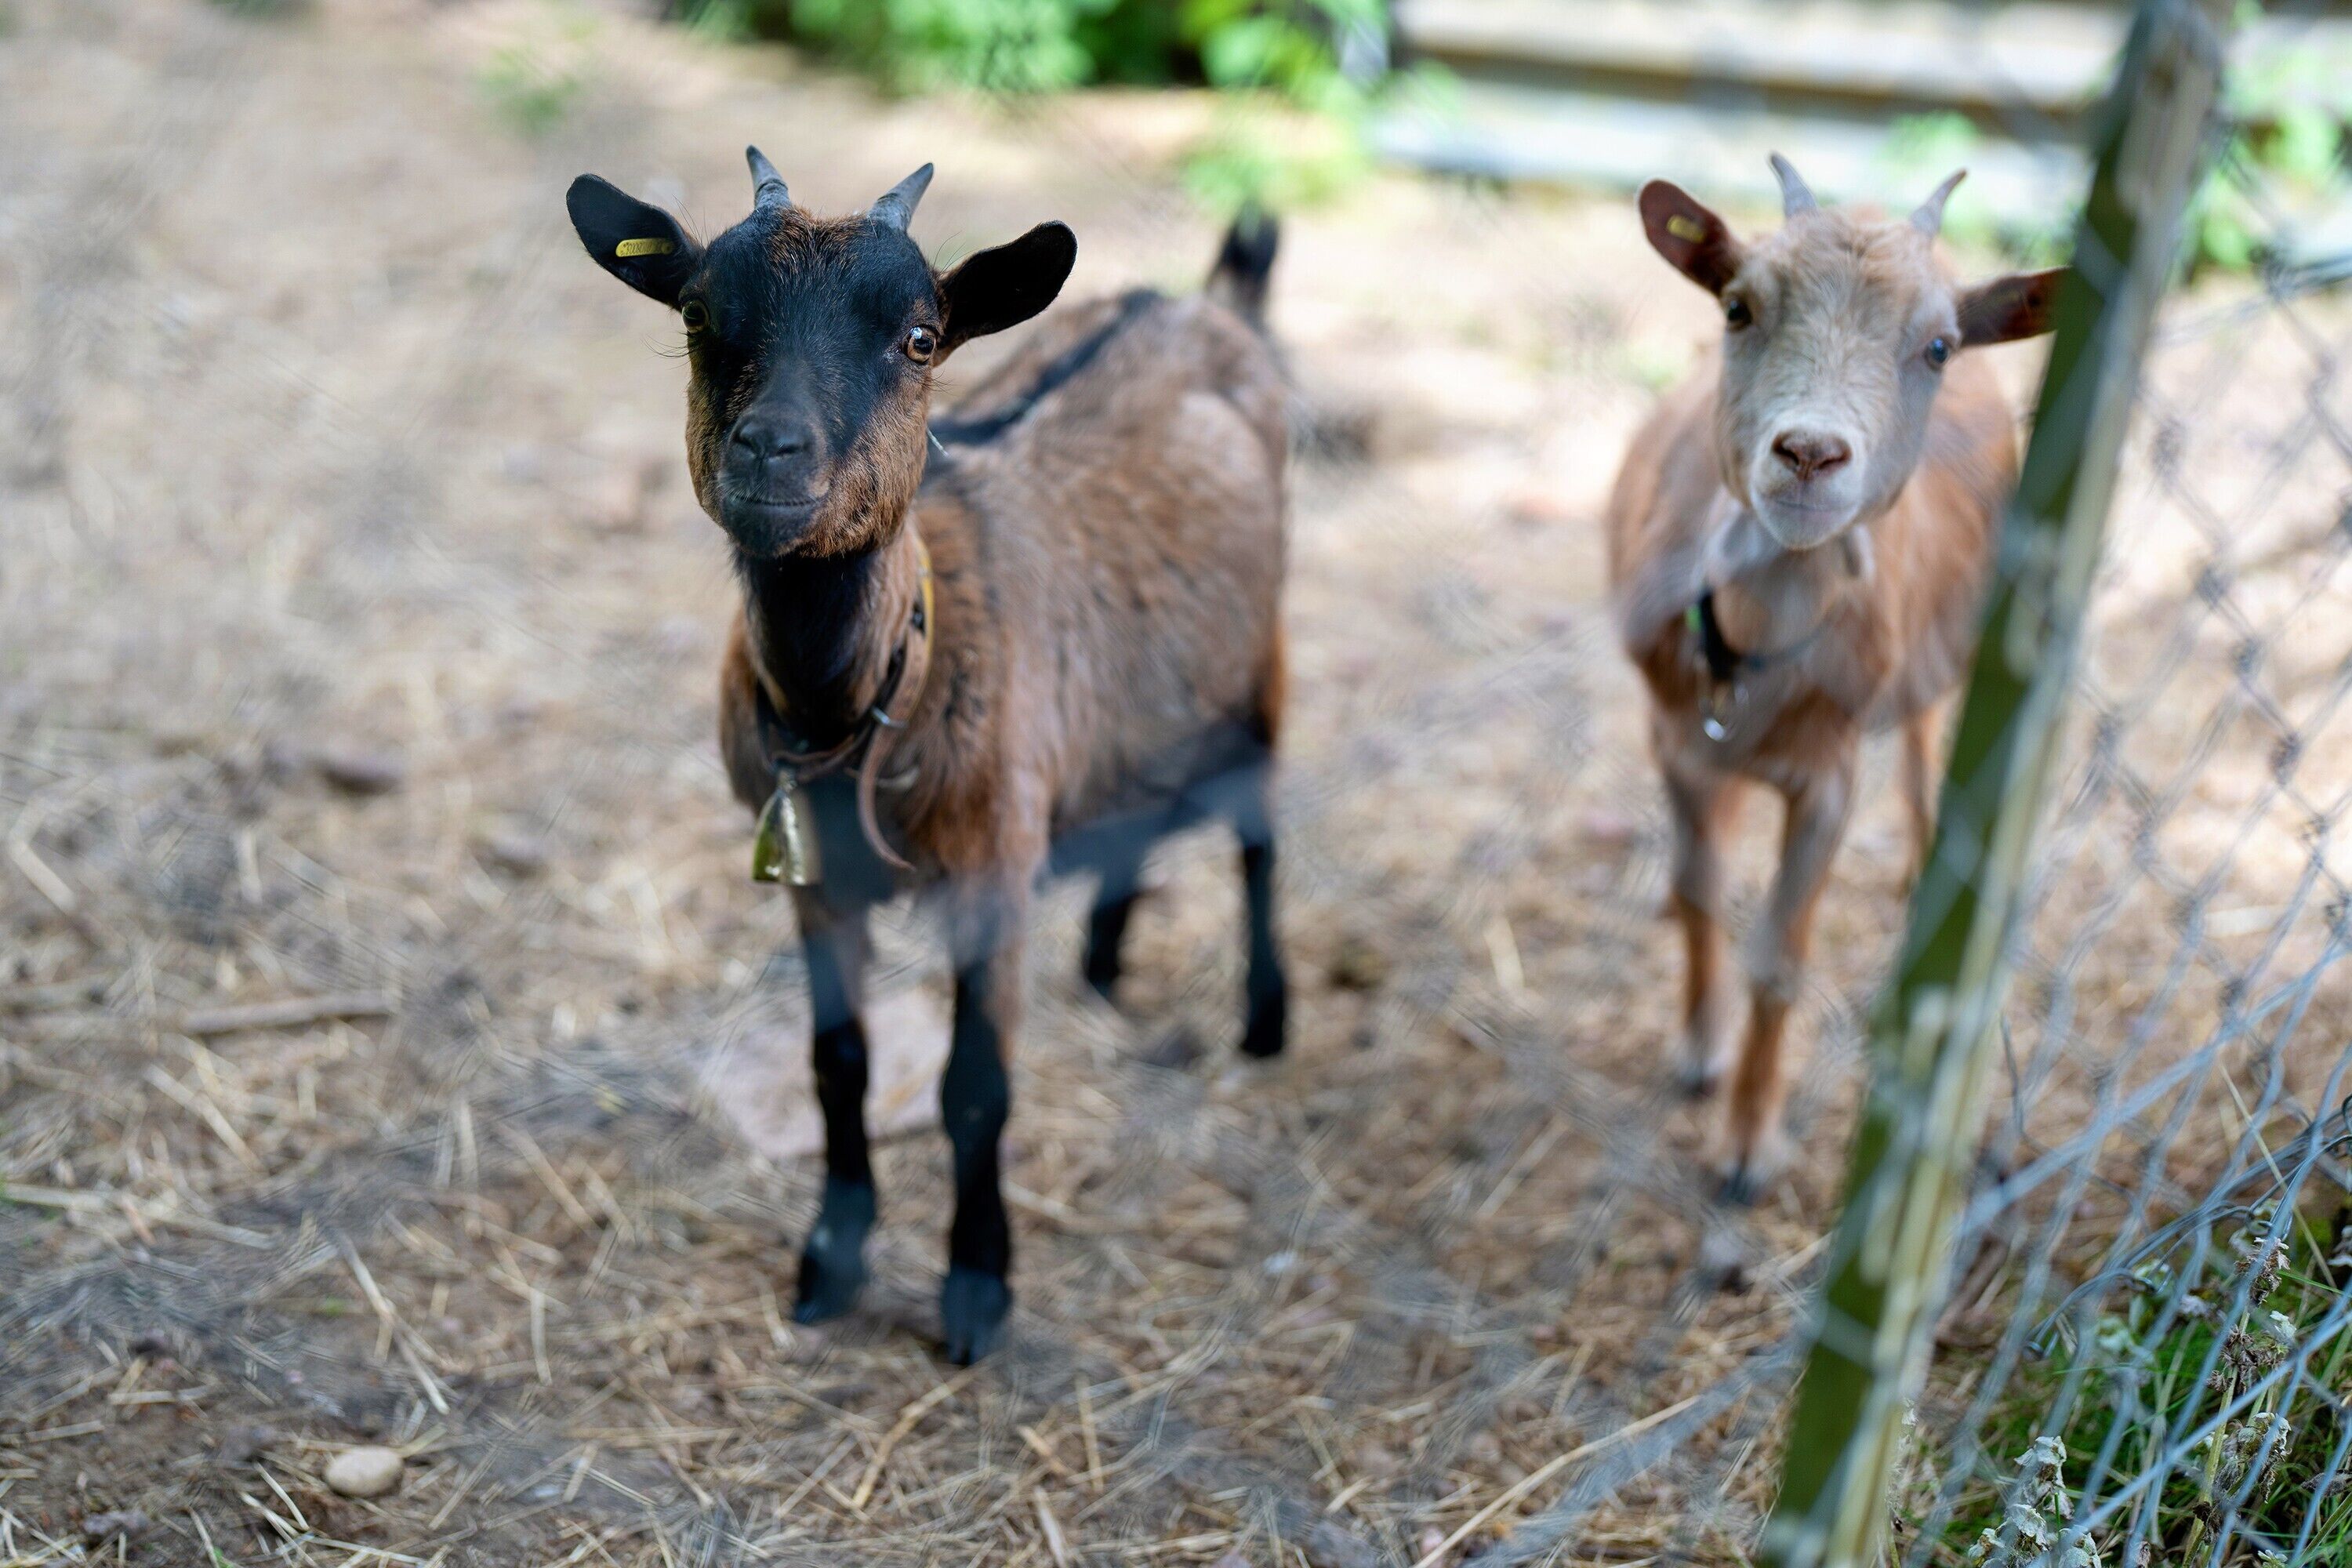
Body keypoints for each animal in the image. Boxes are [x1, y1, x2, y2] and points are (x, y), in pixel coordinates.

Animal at [567, 151, 1289, 1362]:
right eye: (700, 314)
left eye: (919, 337)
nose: (772, 450)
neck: (858, 703)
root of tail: (1198, 302)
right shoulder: (814, 880)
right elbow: (838, 1065)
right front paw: (833, 1257)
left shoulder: (993, 867)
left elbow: (975, 1086)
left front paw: (977, 1286)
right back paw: (1104, 958)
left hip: (1265, 652)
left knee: (1259, 827)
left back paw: (1268, 1017)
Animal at [1605, 156, 2064, 1200]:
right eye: (1737, 306)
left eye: (1937, 346)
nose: (1810, 453)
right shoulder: (1672, 735)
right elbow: (1699, 887)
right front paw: (1697, 1047)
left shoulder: (1829, 778)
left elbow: (1781, 959)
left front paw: (1747, 1147)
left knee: (1932, 734)